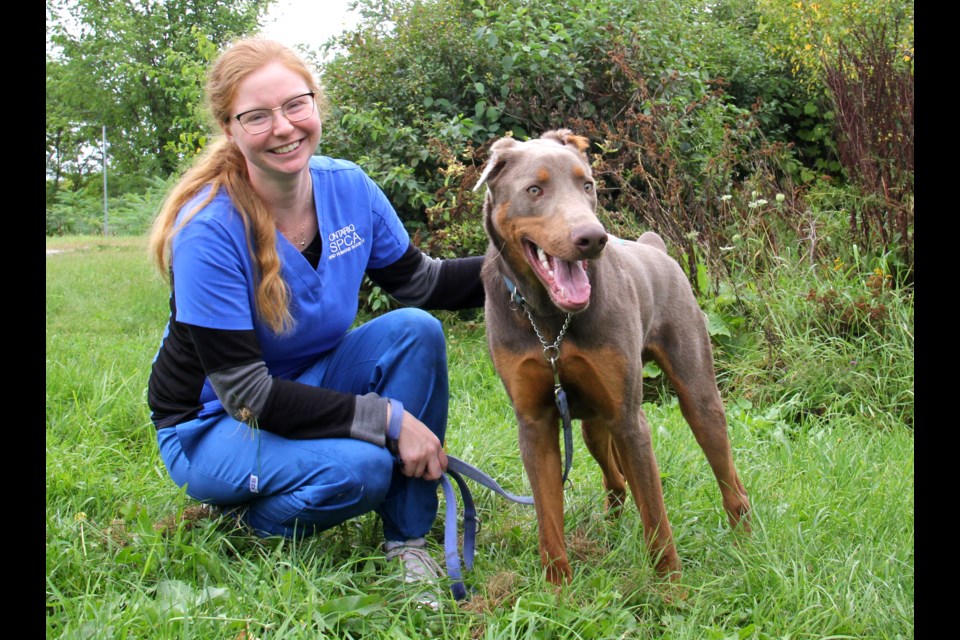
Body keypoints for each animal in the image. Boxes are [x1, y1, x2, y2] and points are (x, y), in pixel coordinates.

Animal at [472, 129, 752, 584]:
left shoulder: (629, 419)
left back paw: (745, 539)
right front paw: (558, 590)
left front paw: (671, 588)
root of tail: (656, 248)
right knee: (616, 479)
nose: (593, 239)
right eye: (534, 190)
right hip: (591, 424)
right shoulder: (535, 423)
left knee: (726, 476)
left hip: (695, 395)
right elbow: (549, 520)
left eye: (588, 185)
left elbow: (656, 518)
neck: (550, 320)